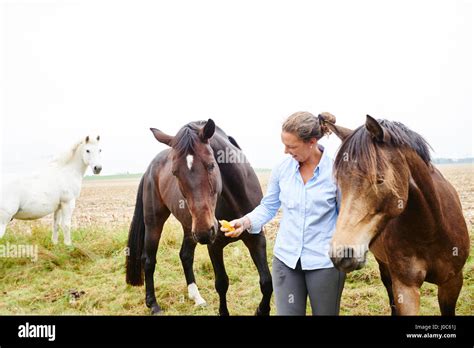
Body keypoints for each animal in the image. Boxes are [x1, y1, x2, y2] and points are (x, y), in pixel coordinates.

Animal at [126, 119, 272, 316]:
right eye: (174, 172)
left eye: (211, 165)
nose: (205, 231)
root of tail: (149, 169)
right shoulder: (214, 246)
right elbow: (222, 283)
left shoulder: (256, 238)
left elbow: (266, 282)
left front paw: (261, 310)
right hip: (155, 223)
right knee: (149, 260)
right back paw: (153, 304)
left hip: (190, 228)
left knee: (185, 256)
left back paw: (196, 297)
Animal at [322, 114, 470, 316]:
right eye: (339, 182)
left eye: (379, 180)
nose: (341, 254)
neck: (430, 230)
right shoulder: (406, 287)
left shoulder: (452, 282)